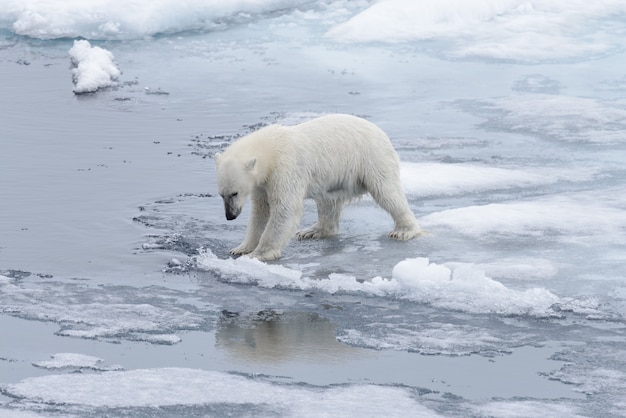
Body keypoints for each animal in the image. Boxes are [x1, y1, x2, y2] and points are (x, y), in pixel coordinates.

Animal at [213, 112, 420, 260]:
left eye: (235, 193)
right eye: (221, 194)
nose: (230, 216)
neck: (270, 149)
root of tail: (381, 133)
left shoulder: (285, 169)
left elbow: (285, 208)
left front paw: (259, 253)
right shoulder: (262, 184)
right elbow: (261, 212)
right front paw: (240, 248)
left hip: (371, 158)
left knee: (387, 192)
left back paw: (404, 231)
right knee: (328, 202)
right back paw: (312, 231)